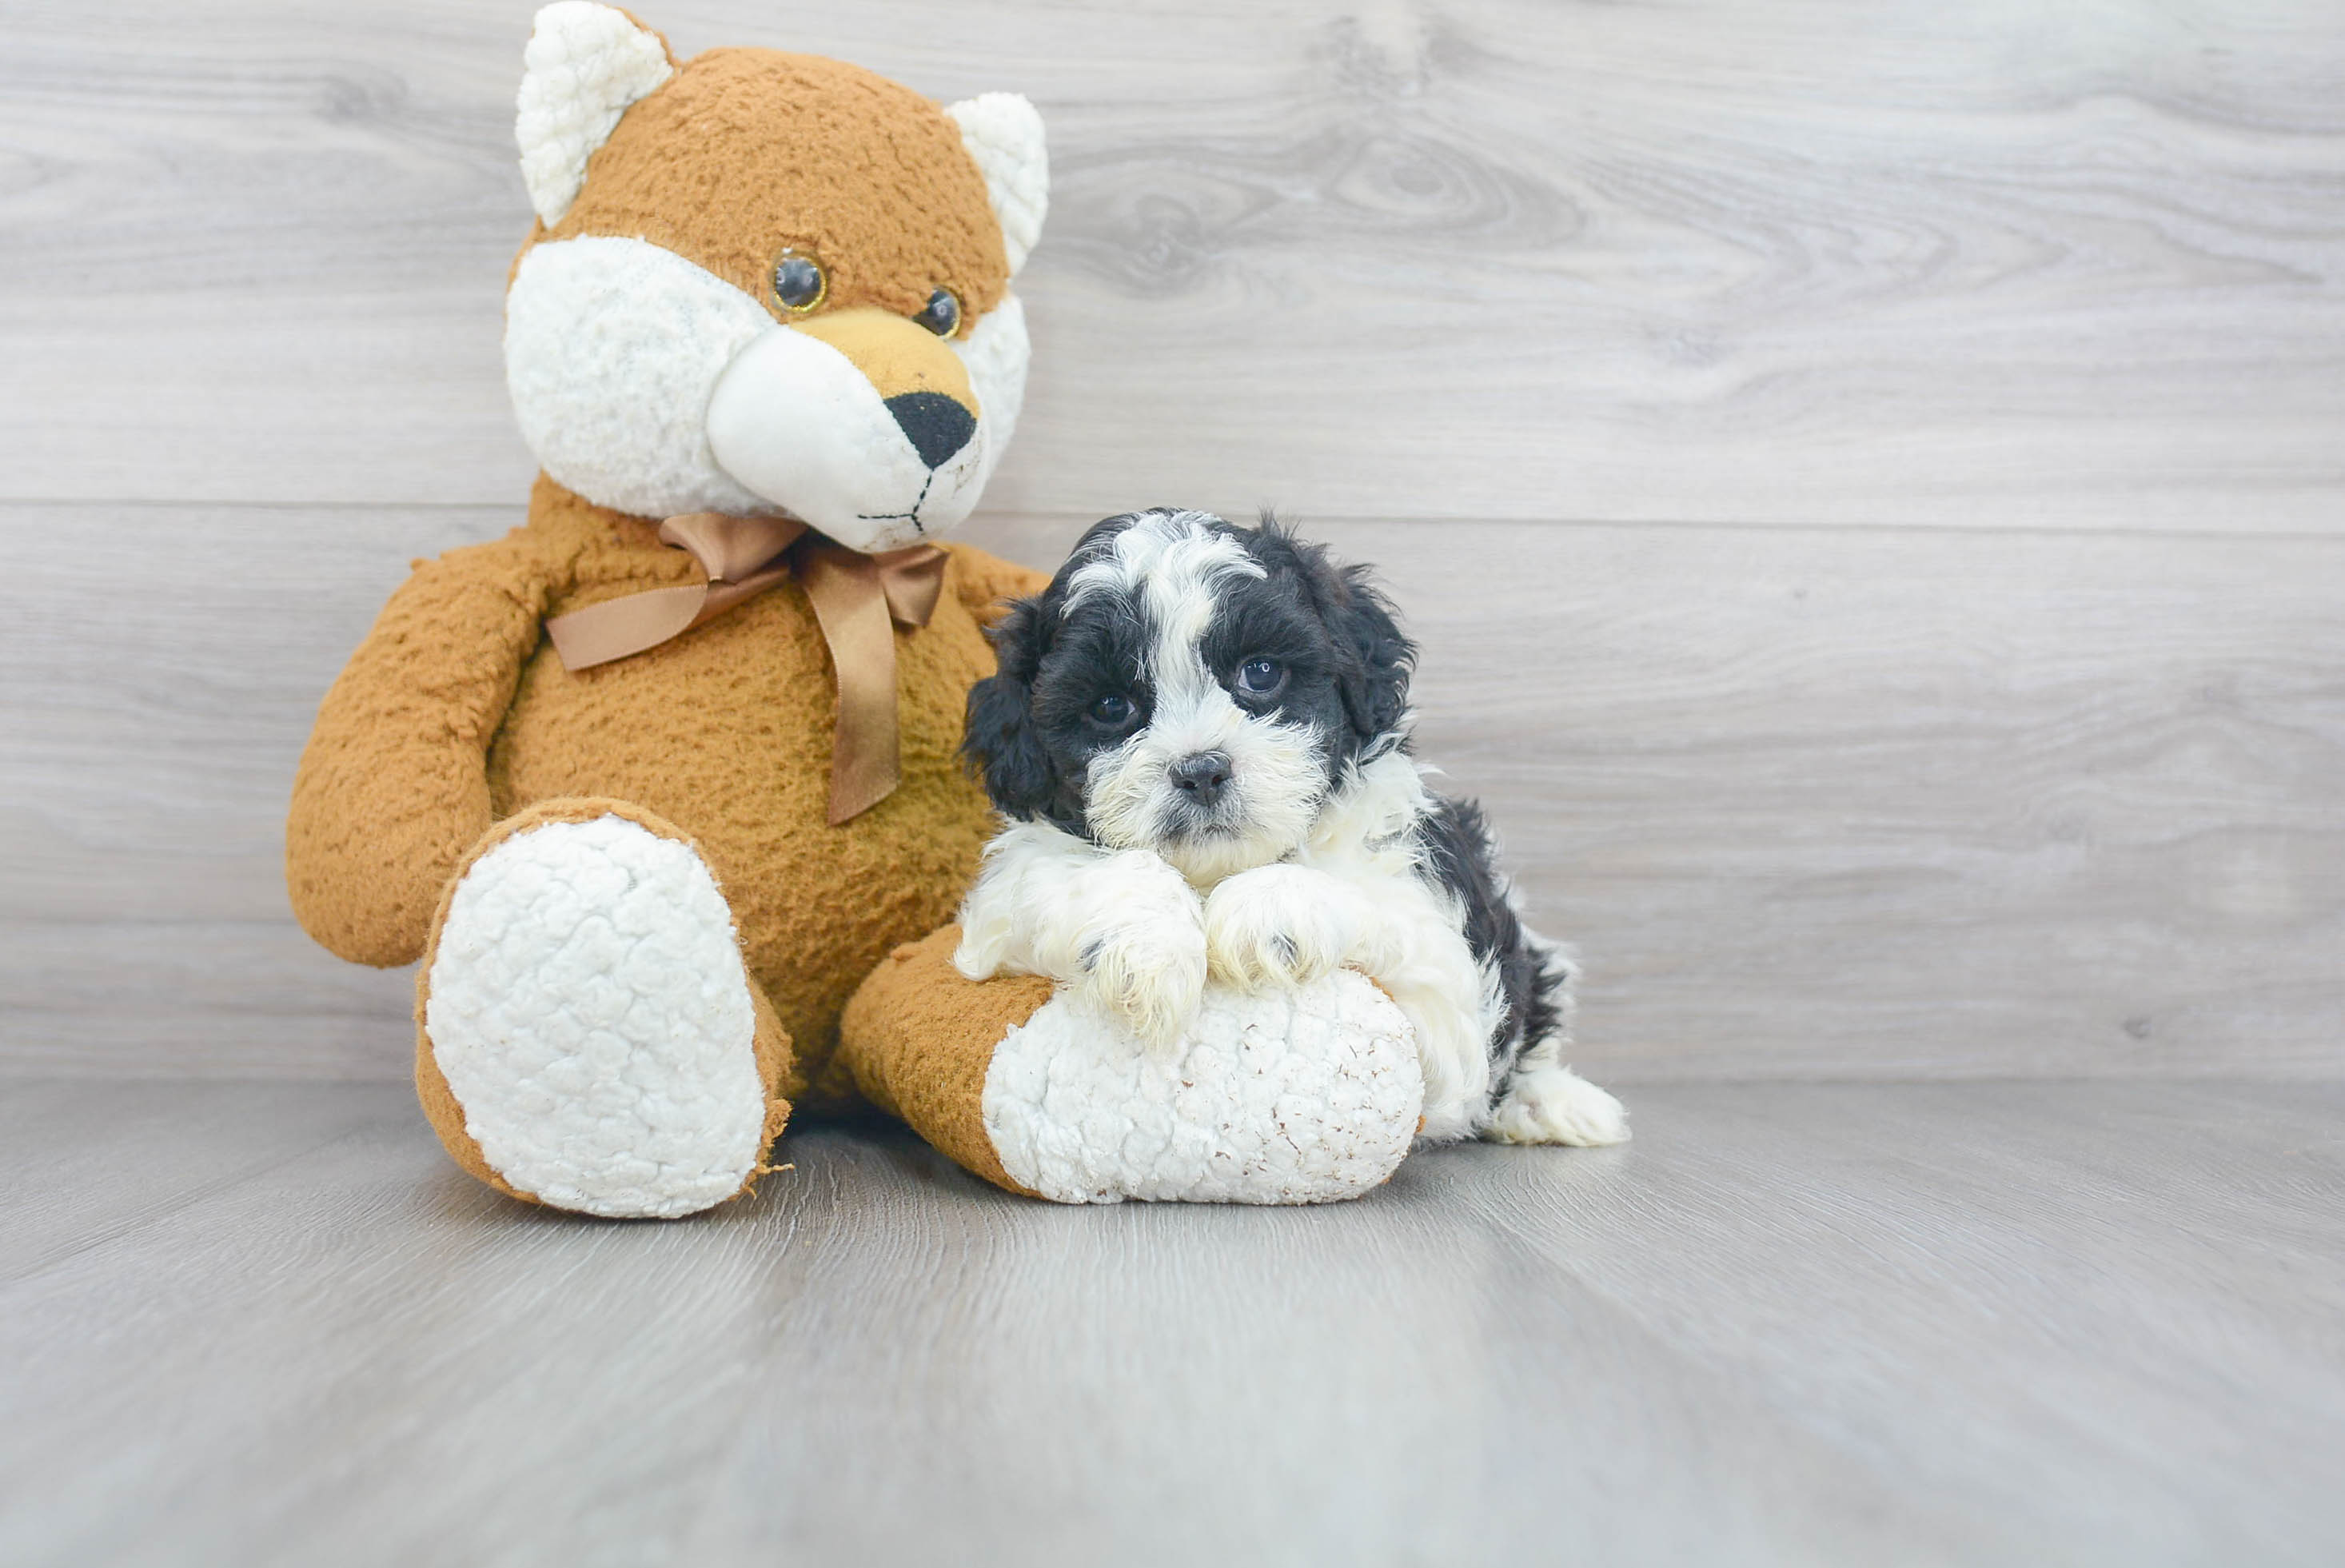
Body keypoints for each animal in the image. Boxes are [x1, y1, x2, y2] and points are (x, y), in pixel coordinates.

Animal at [951, 509, 1632, 1143]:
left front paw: (1268, 908)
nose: (1200, 770)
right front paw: (1144, 940)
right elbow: (1071, 876)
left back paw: (1554, 1103)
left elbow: (1365, 901)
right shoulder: (998, 912)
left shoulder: (1448, 991)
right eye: (1111, 706)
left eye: (1260, 672)